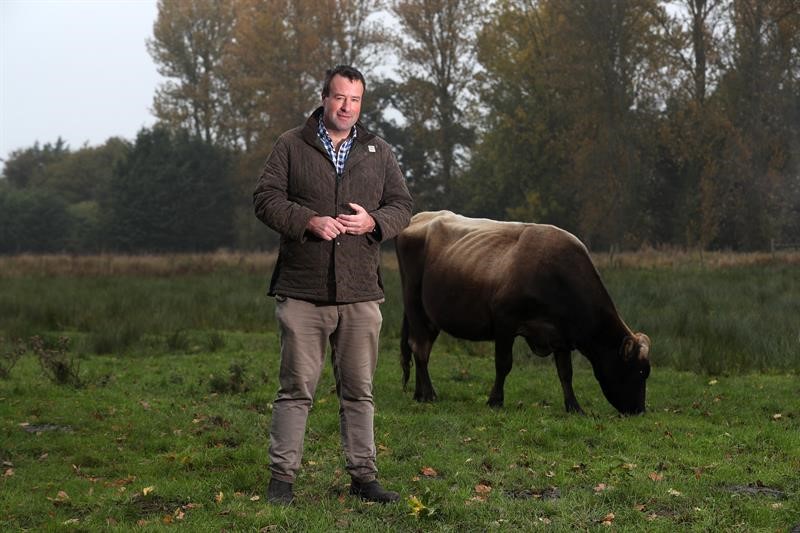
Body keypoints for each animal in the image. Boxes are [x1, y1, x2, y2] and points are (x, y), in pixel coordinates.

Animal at [396, 210, 648, 414]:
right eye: (639, 372)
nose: (639, 410)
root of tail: (418, 218)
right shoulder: (505, 322)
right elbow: (503, 363)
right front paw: (495, 401)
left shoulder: (560, 335)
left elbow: (565, 372)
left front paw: (574, 407)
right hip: (414, 302)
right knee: (420, 348)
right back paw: (429, 394)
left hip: (430, 315)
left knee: (420, 346)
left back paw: (419, 394)